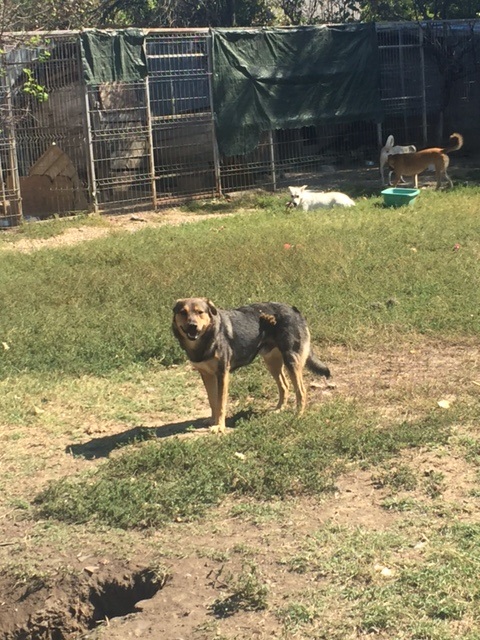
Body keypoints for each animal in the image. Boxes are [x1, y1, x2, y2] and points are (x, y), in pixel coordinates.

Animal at [172, 300, 330, 436]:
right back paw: (279, 409)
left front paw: (220, 427)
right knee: (284, 386)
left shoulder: (222, 374)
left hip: (291, 361)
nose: (192, 325)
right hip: (272, 363)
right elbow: (212, 400)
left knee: (301, 391)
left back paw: (298, 416)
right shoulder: (206, 374)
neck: (206, 338)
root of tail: (294, 310)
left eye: (200, 312)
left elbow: (221, 403)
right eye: (183, 312)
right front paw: (213, 420)